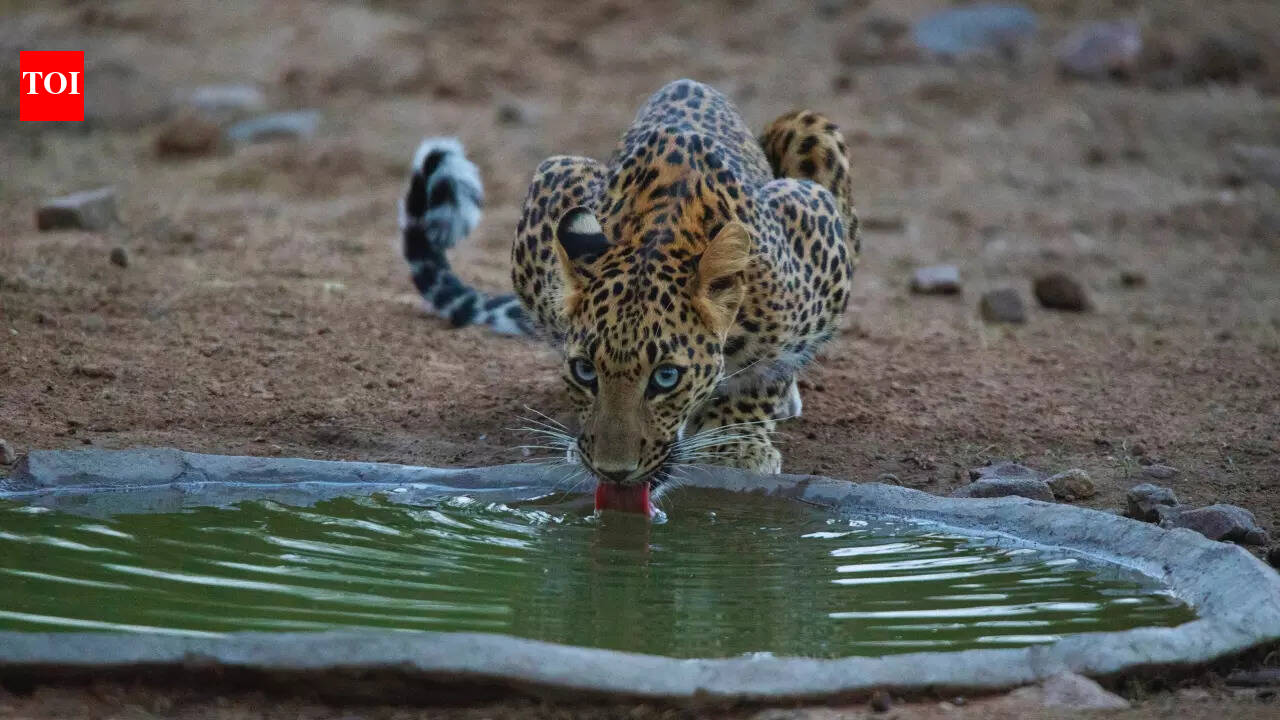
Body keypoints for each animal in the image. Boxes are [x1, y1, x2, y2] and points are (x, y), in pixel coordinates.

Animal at [399, 79, 859, 510]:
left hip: (810, 131)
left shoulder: (813, 219)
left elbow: (770, 368)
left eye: (666, 377)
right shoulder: (554, 181)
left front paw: (735, 446)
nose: (613, 472)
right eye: (586, 371)